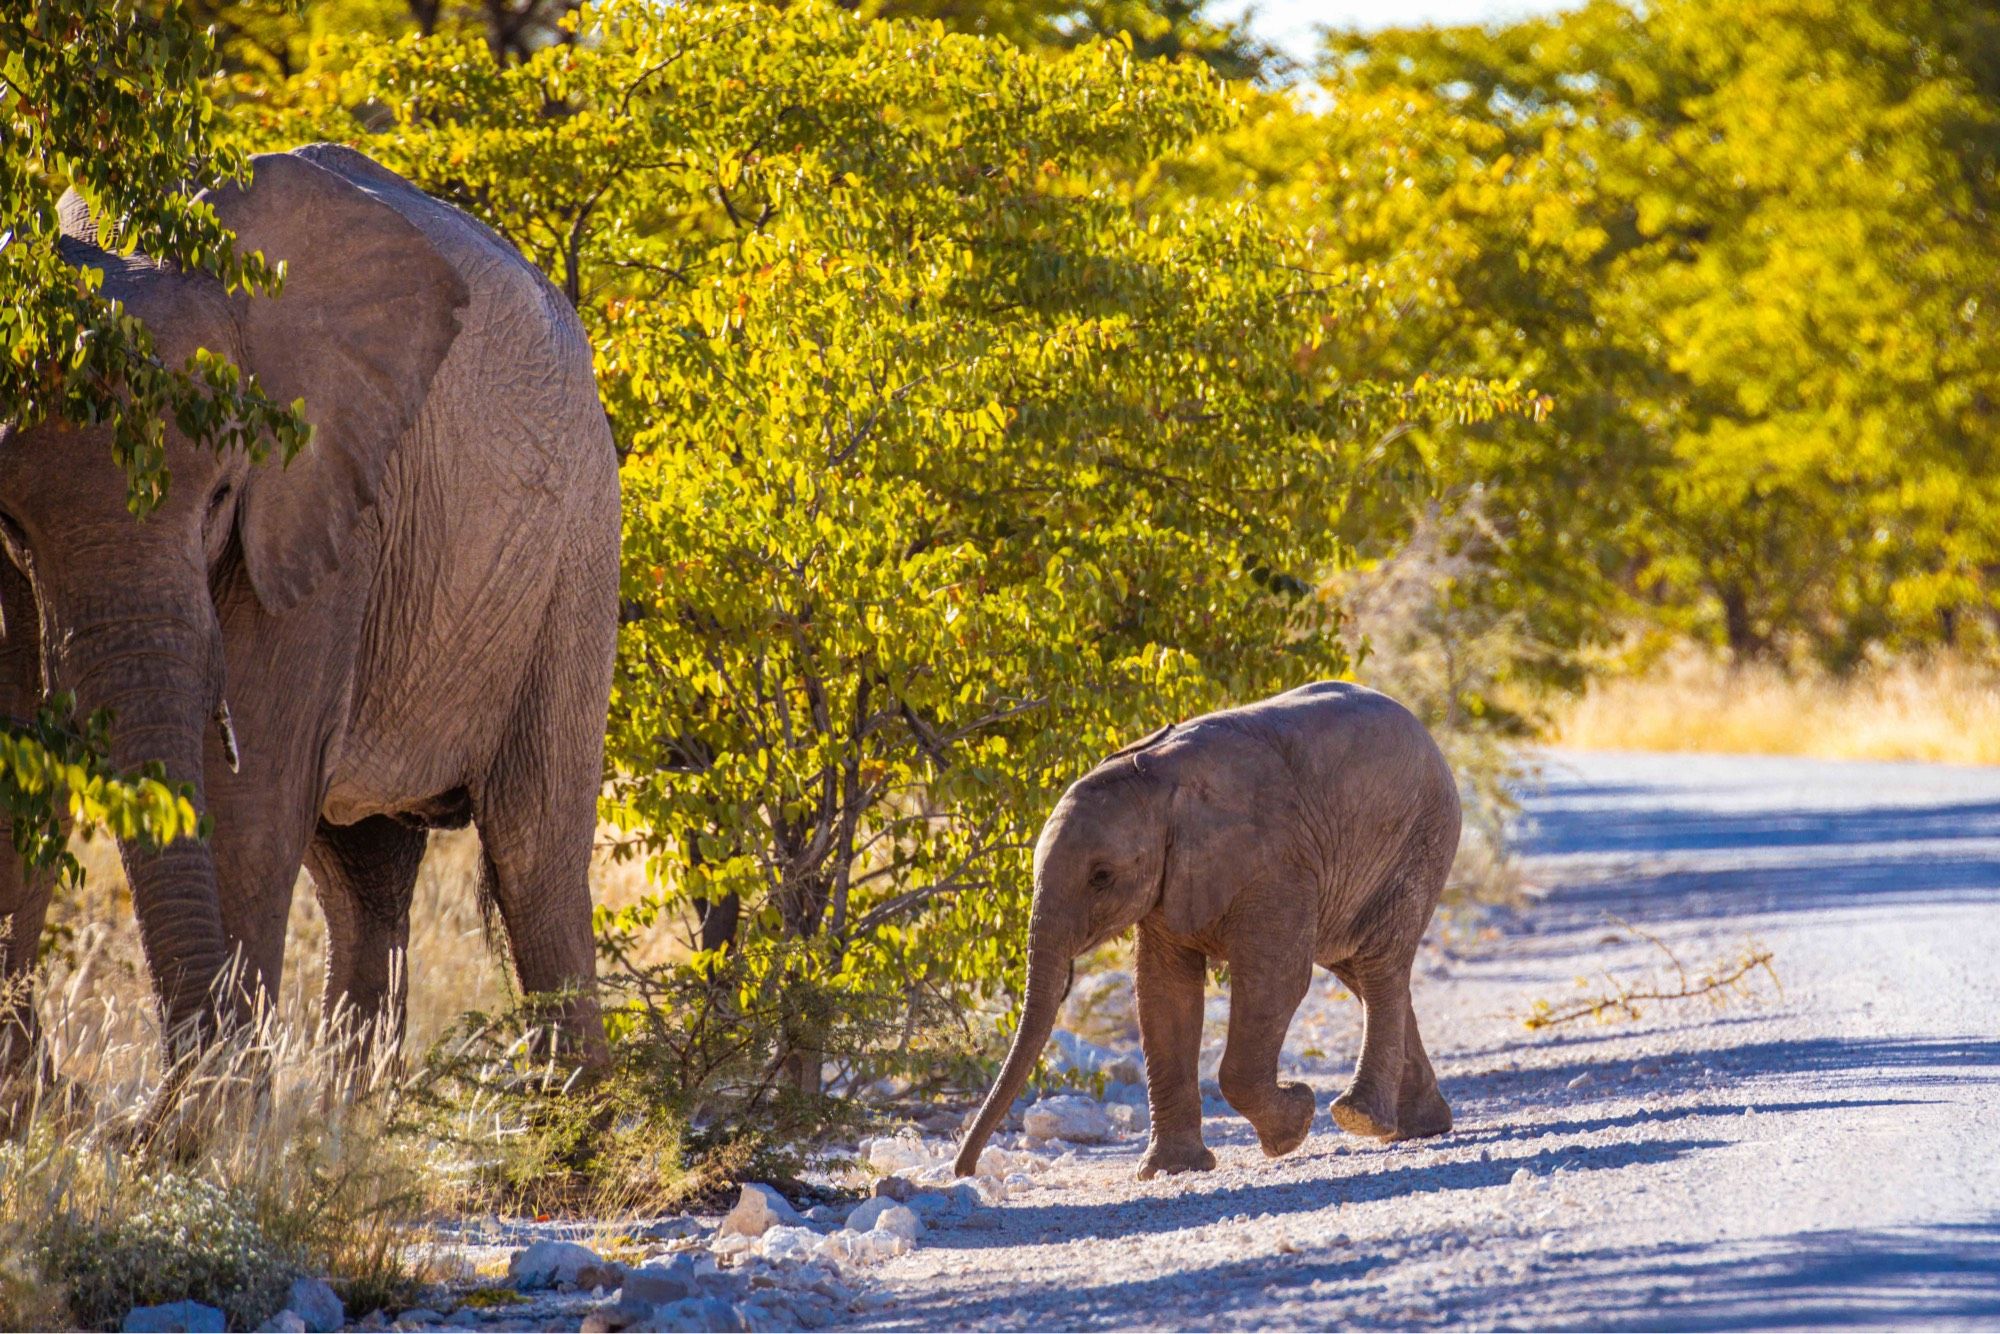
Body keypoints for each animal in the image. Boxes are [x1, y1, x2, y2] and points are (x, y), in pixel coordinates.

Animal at [0, 146, 616, 1072]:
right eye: (11, 521)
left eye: (223, 495)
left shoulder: (327, 502)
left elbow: (248, 801)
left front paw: (208, 1111)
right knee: (365, 880)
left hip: (574, 559)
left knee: (535, 859)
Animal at [952, 684, 1456, 1176]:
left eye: (1101, 876)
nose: (964, 1170)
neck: (1155, 781)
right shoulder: (1171, 880)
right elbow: (1164, 993)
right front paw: (1173, 1169)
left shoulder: (1274, 863)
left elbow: (1274, 980)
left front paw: (1293, 1123)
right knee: (1355, 970)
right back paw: (1419, 1126)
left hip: (1419, 839)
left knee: (1377, 964)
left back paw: (1361, 1117)